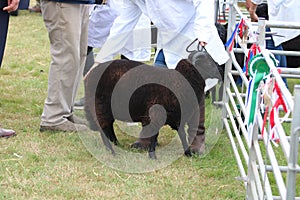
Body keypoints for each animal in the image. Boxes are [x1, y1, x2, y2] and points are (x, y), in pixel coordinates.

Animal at [83, 58, 217, 159]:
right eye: (208, 63)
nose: (219, 71)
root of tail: (89, 75)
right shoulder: (157, 114)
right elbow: (154, 135)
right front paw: (152, 155)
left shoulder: (176, 117)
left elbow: (182, 135)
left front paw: (188, 153)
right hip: (99, 105)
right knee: (103, 127)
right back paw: (111, 151)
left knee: (108, 126)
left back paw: (116, 144)